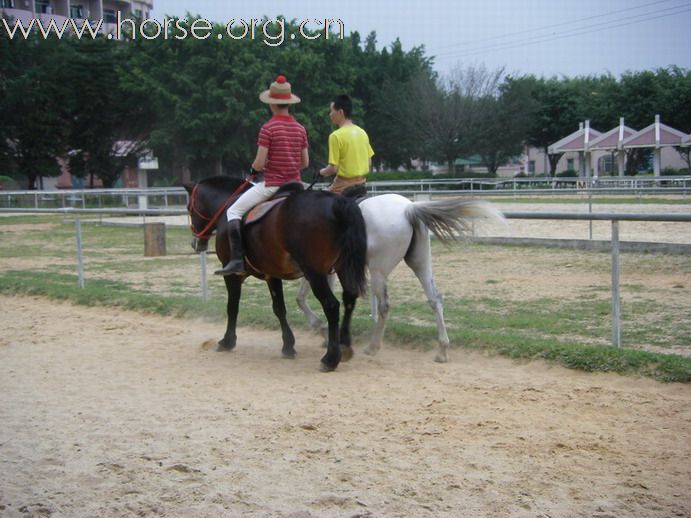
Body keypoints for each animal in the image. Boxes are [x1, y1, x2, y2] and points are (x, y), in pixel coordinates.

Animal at [184, 177, 368, 372]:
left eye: (189, 208)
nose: (195, 242)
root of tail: (337, 202)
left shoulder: (232, 275)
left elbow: (232, 306)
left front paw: (227, 341)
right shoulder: (271, 274)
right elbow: (279, 308)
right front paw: (288, 346)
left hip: (315, 273)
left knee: (331, 305)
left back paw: (330, 358)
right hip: (343, 267)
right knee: (350, 298)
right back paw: (344, 345)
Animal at [294, 193, 506, 364]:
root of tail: (408, 209)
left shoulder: (316, 270)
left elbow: (301, 298)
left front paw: (321, 328)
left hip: (378, 271)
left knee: (384, 306)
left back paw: (373, 346)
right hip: (421, 264)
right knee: (435, 300)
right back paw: (442, 350)